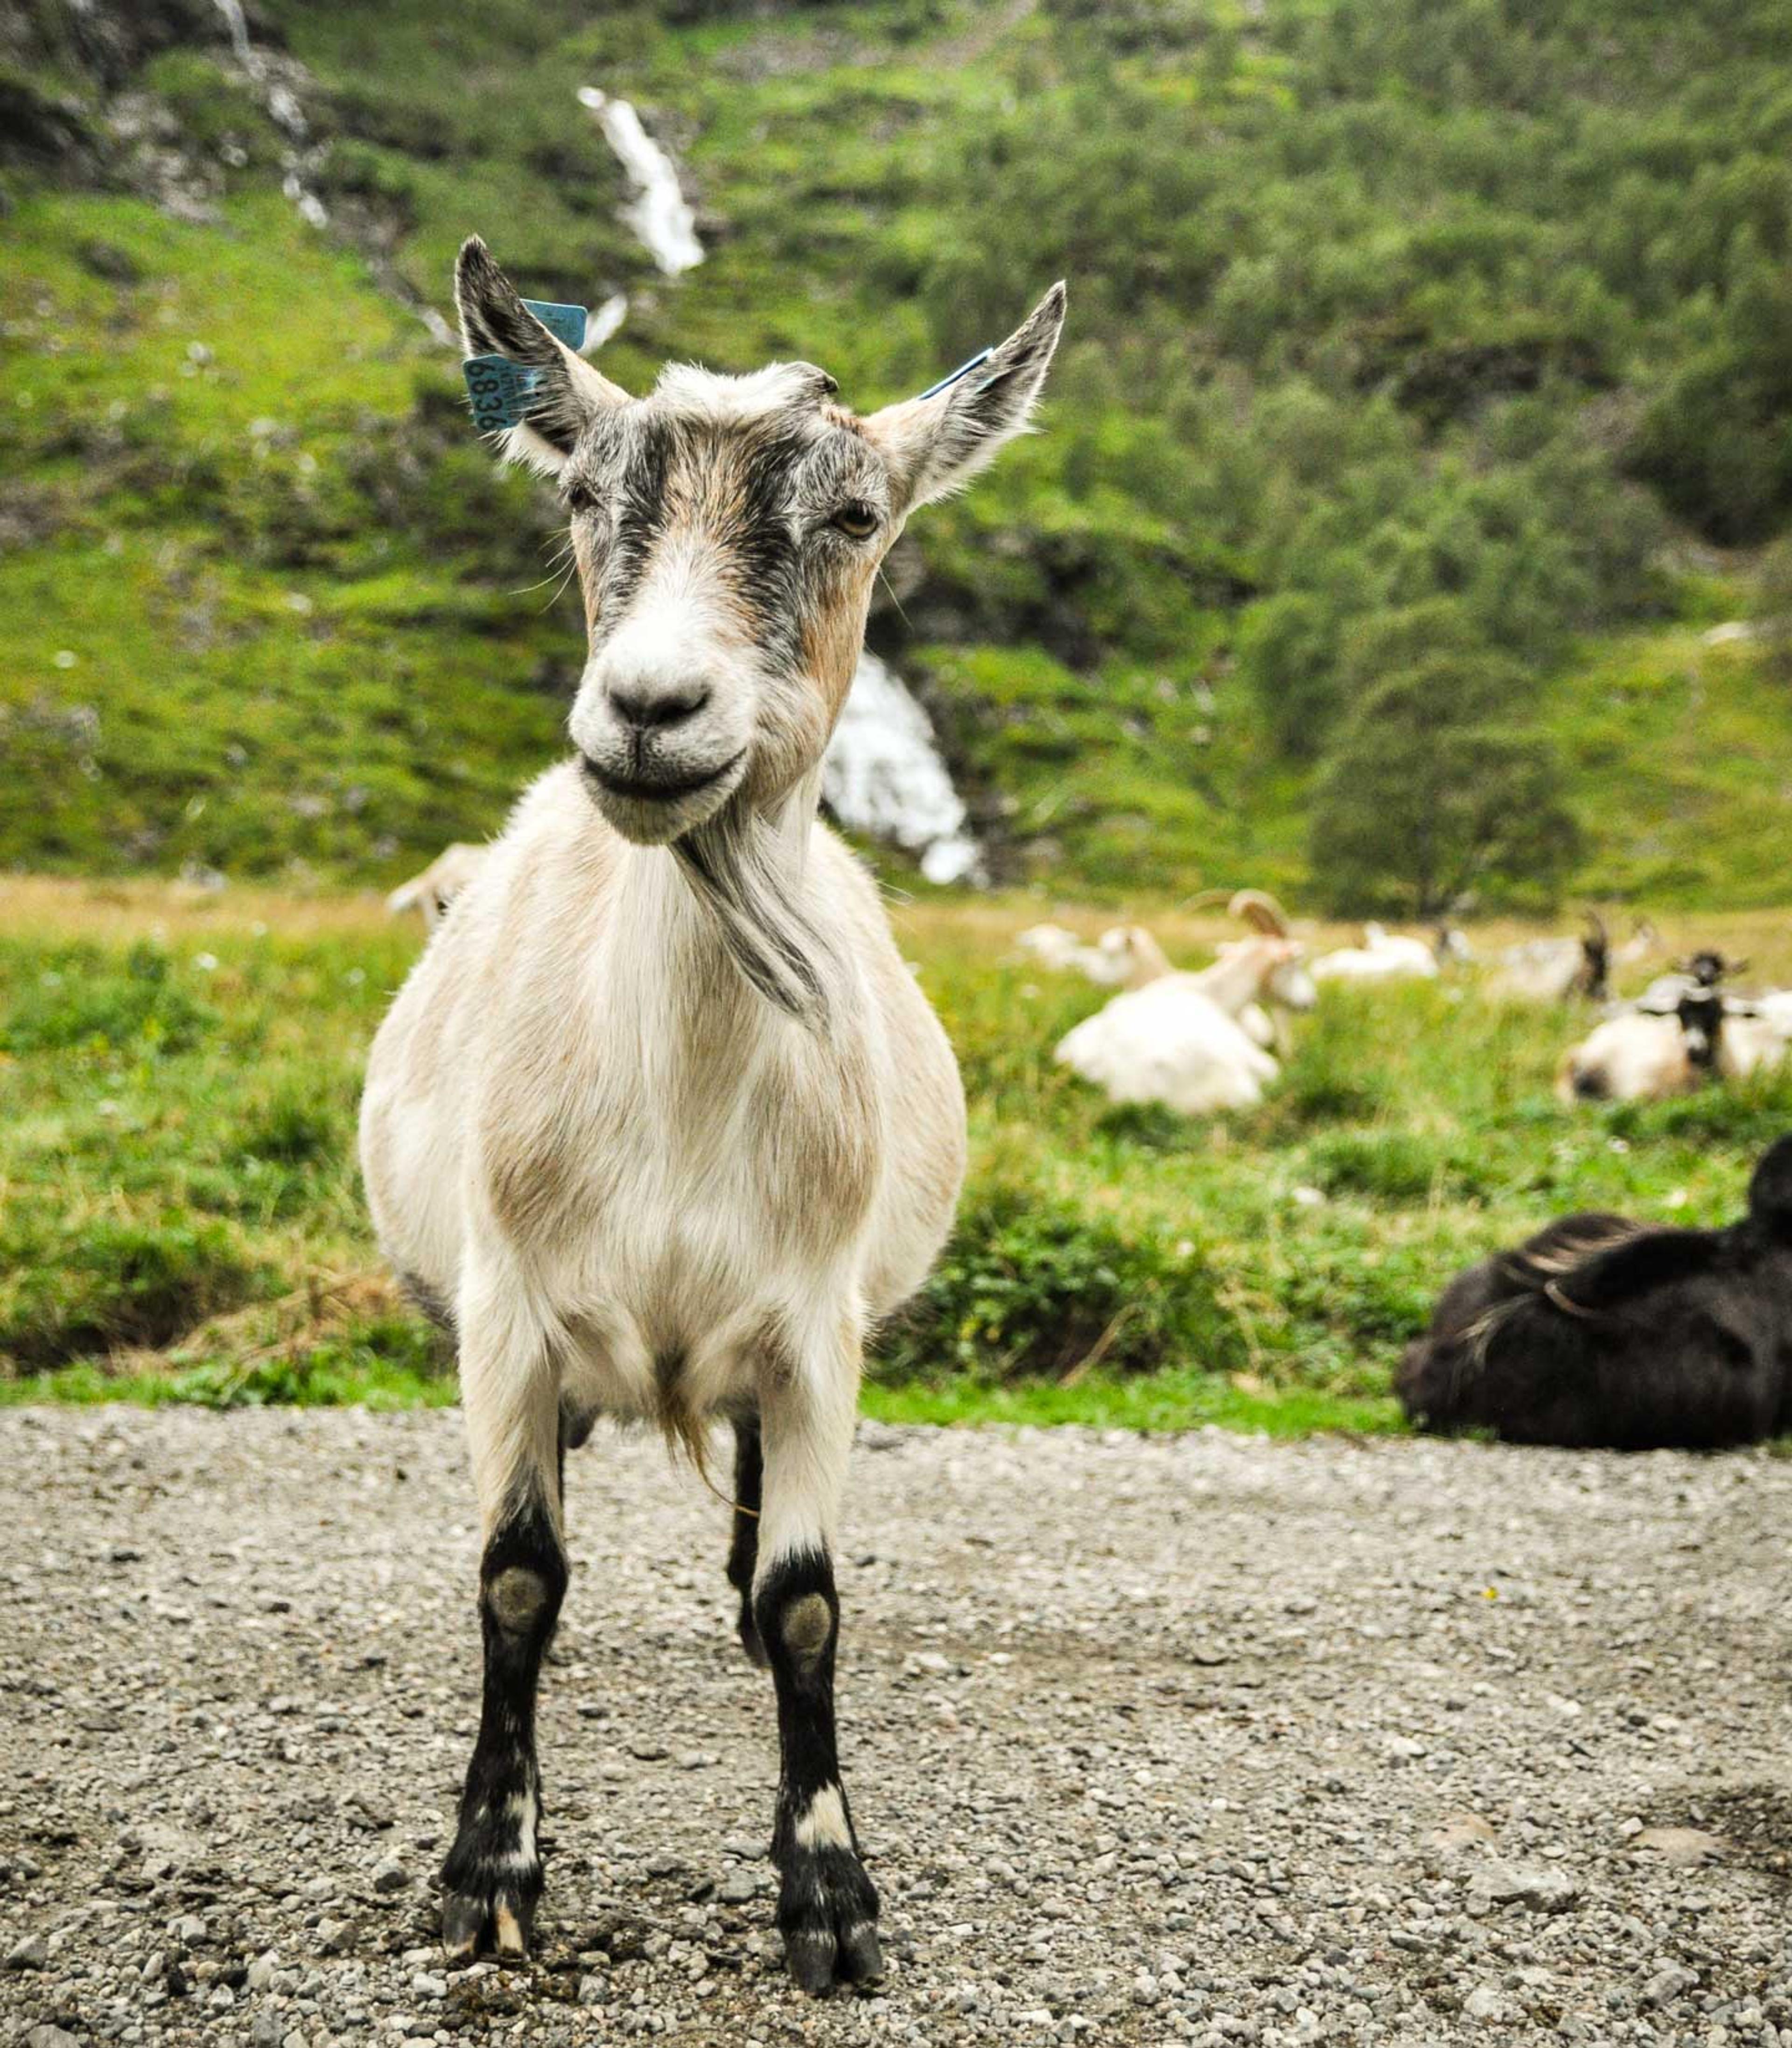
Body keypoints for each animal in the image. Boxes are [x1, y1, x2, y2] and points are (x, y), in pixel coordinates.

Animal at [364, 235, 1065, 1982]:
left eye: (856, 514)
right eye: (577, 497)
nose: (648, 710)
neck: (672, 1106)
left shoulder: (816, 1331)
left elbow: (808, 1603)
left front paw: (829, 1888)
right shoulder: (508, 1316)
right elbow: (517, 1579)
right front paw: (489, 1866)